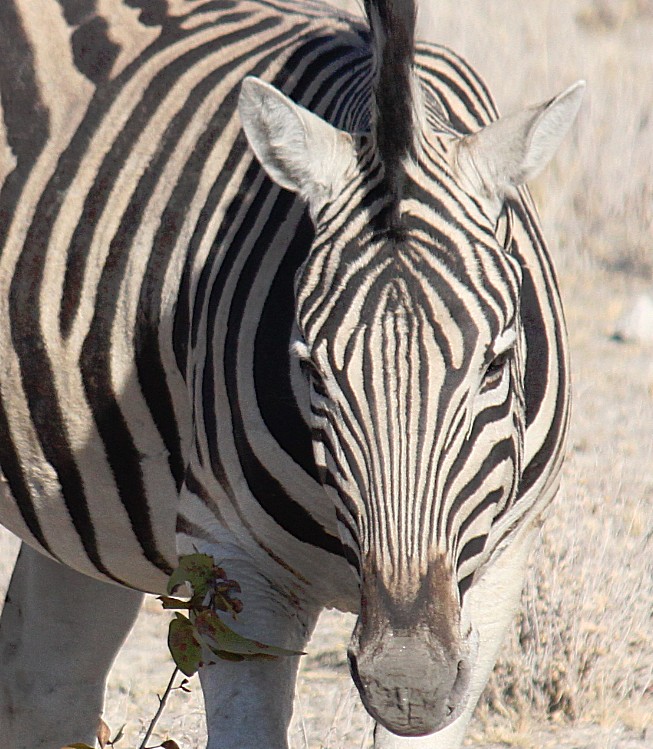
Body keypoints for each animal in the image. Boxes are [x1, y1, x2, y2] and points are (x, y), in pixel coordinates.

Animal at [0, 0, 584, 744]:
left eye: (496, 363)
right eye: (310, 368)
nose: (407, 681)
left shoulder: (501, 569)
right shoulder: (233, 567)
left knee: (44, 682)